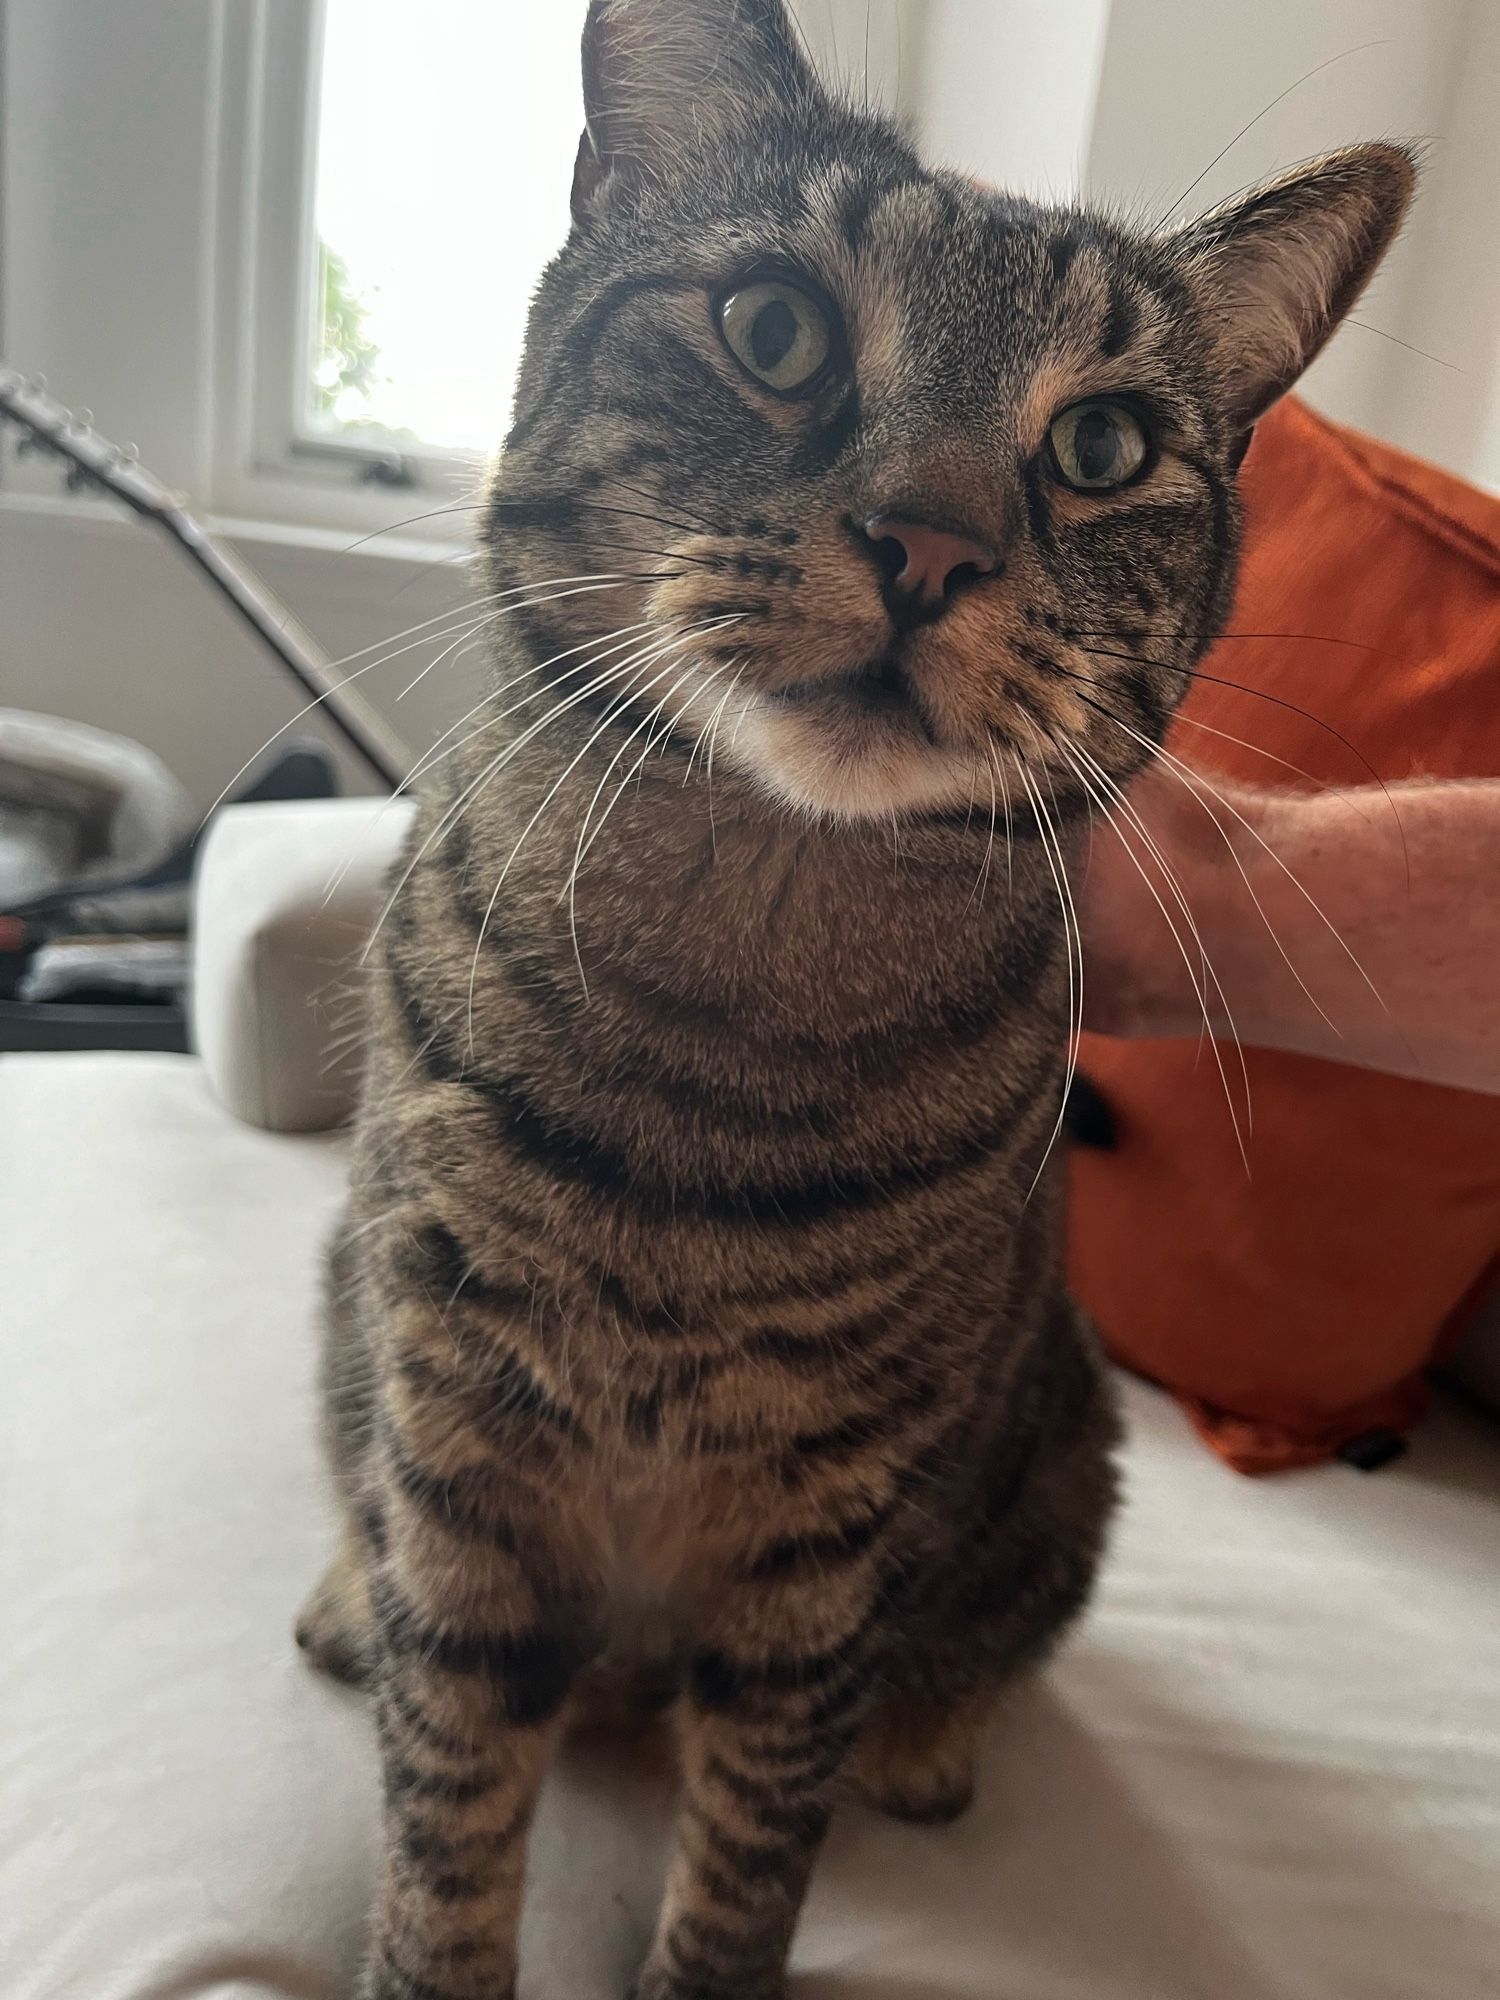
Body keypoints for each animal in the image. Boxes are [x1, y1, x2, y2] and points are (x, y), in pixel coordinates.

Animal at [296, 7, 1424, 1992]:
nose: (934, 540)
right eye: (776, 329)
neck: (730, 1010)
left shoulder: (831, 1540)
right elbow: (445, 1826)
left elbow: (750, 1852)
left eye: (1104, 443)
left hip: (1067, 1452)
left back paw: (929, 1741)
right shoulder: (460, 1446)